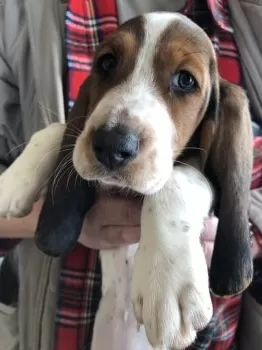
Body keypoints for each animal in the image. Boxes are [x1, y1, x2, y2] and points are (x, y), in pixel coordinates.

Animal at [0, 12, 254, 350]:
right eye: (106, 63)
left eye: (186, 80)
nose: (111, 144)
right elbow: (61, 129)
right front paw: (12, 183)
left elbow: (176, 179)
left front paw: (166, 281)